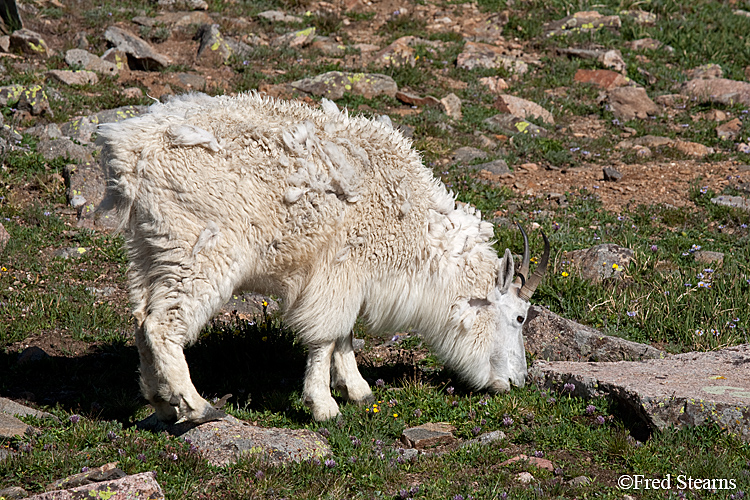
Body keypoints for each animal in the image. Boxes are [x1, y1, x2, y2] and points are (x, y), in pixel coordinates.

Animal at [97, 91, 548, 422]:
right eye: (520, 317)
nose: (517, 382)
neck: (411, 224)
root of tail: (131, 153)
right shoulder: (339, 271)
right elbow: (326, 336)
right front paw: (324, 406)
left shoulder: (349, 279)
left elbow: (344, 334)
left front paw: (358, 390)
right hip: (199, 251)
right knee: (162, 325)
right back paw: (196, 406)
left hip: (150, 248)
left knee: (140, 318)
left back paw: (160, 402)